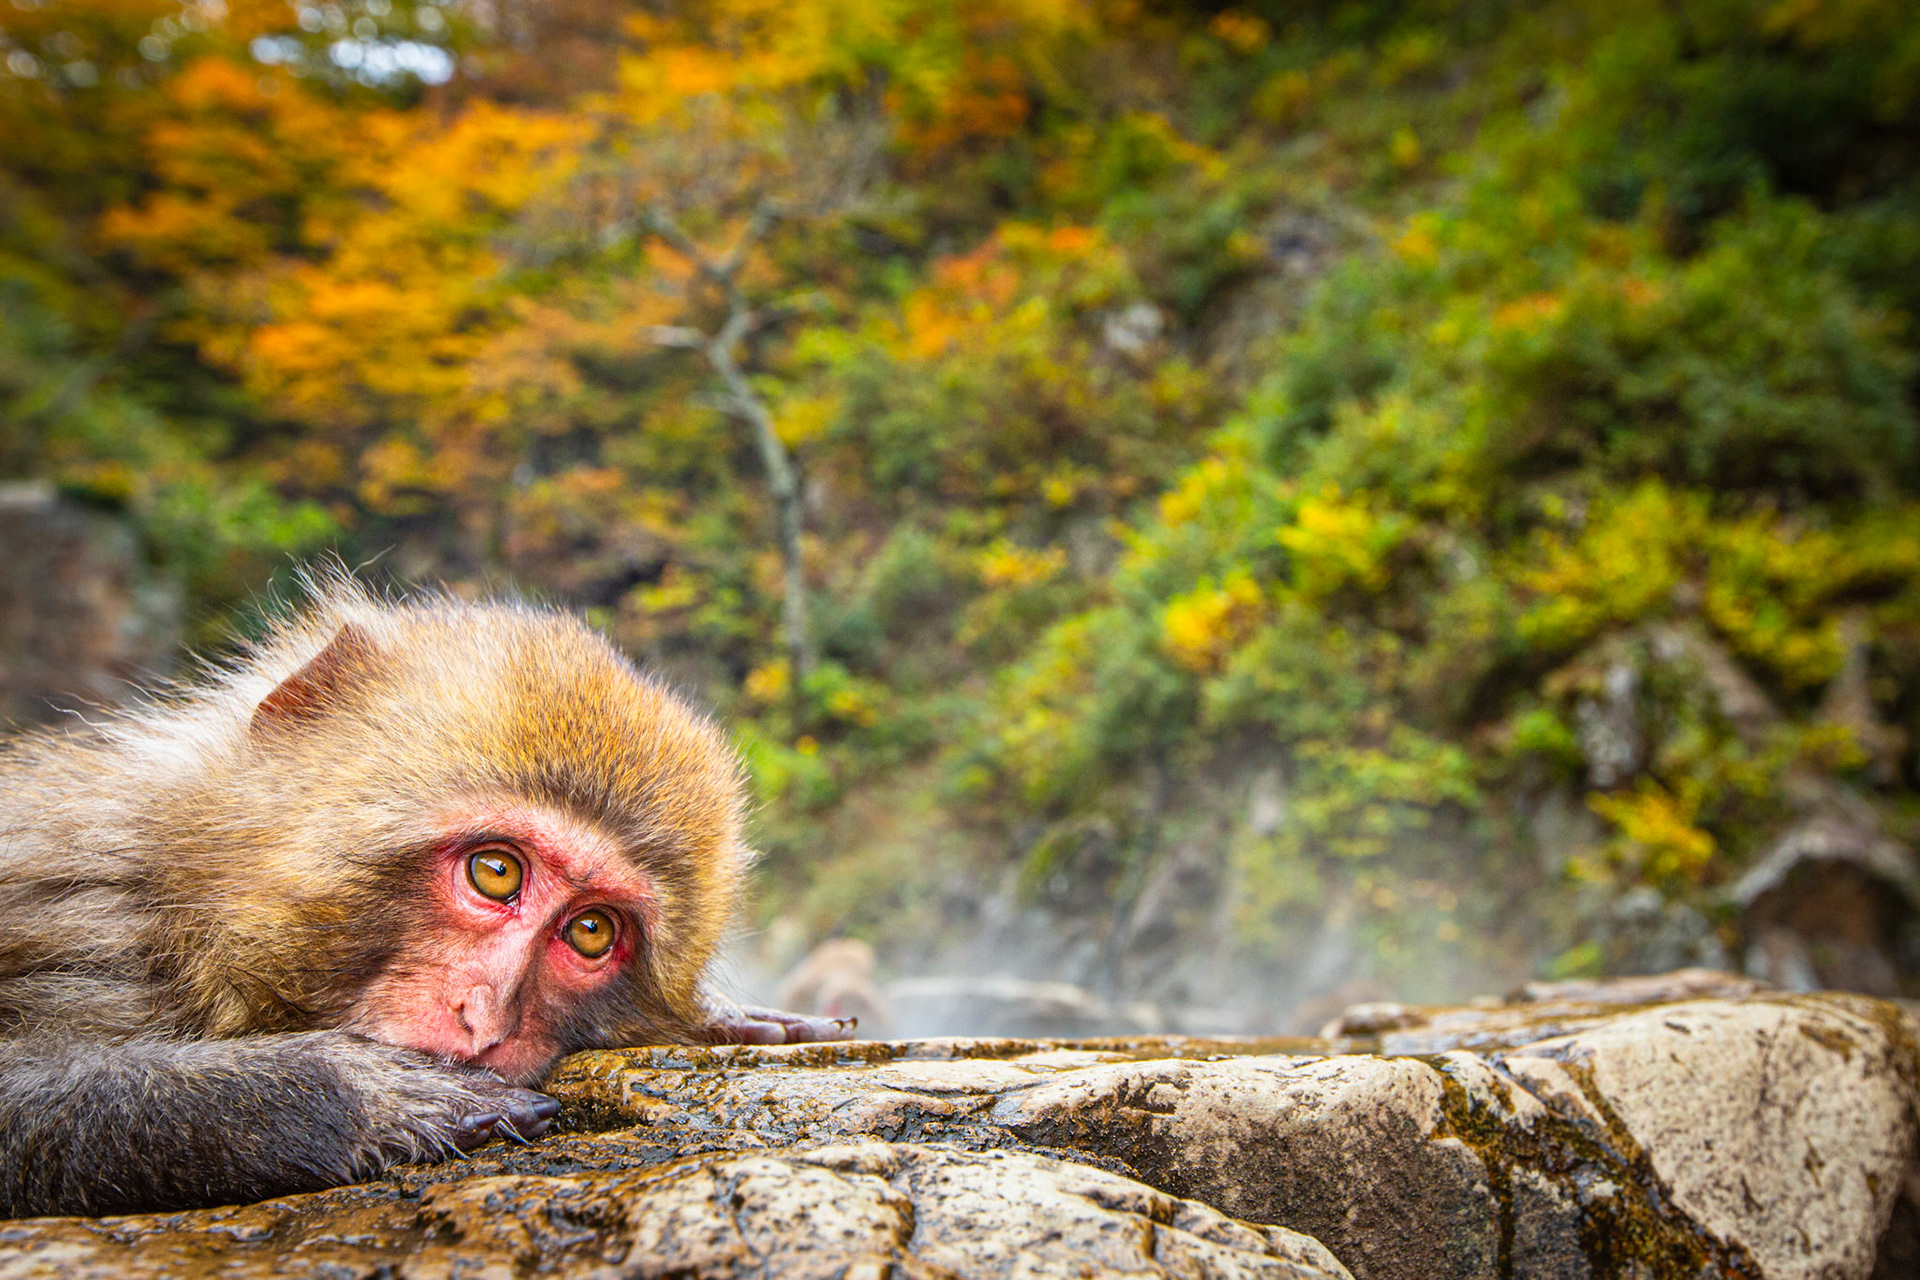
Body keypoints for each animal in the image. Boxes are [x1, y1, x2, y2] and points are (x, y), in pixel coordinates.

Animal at [0, 572, 849, 1219]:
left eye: (591, 932)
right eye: (496, 873)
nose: (486, 1020)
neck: (183, 906)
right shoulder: (84, 916)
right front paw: (349, 1094)